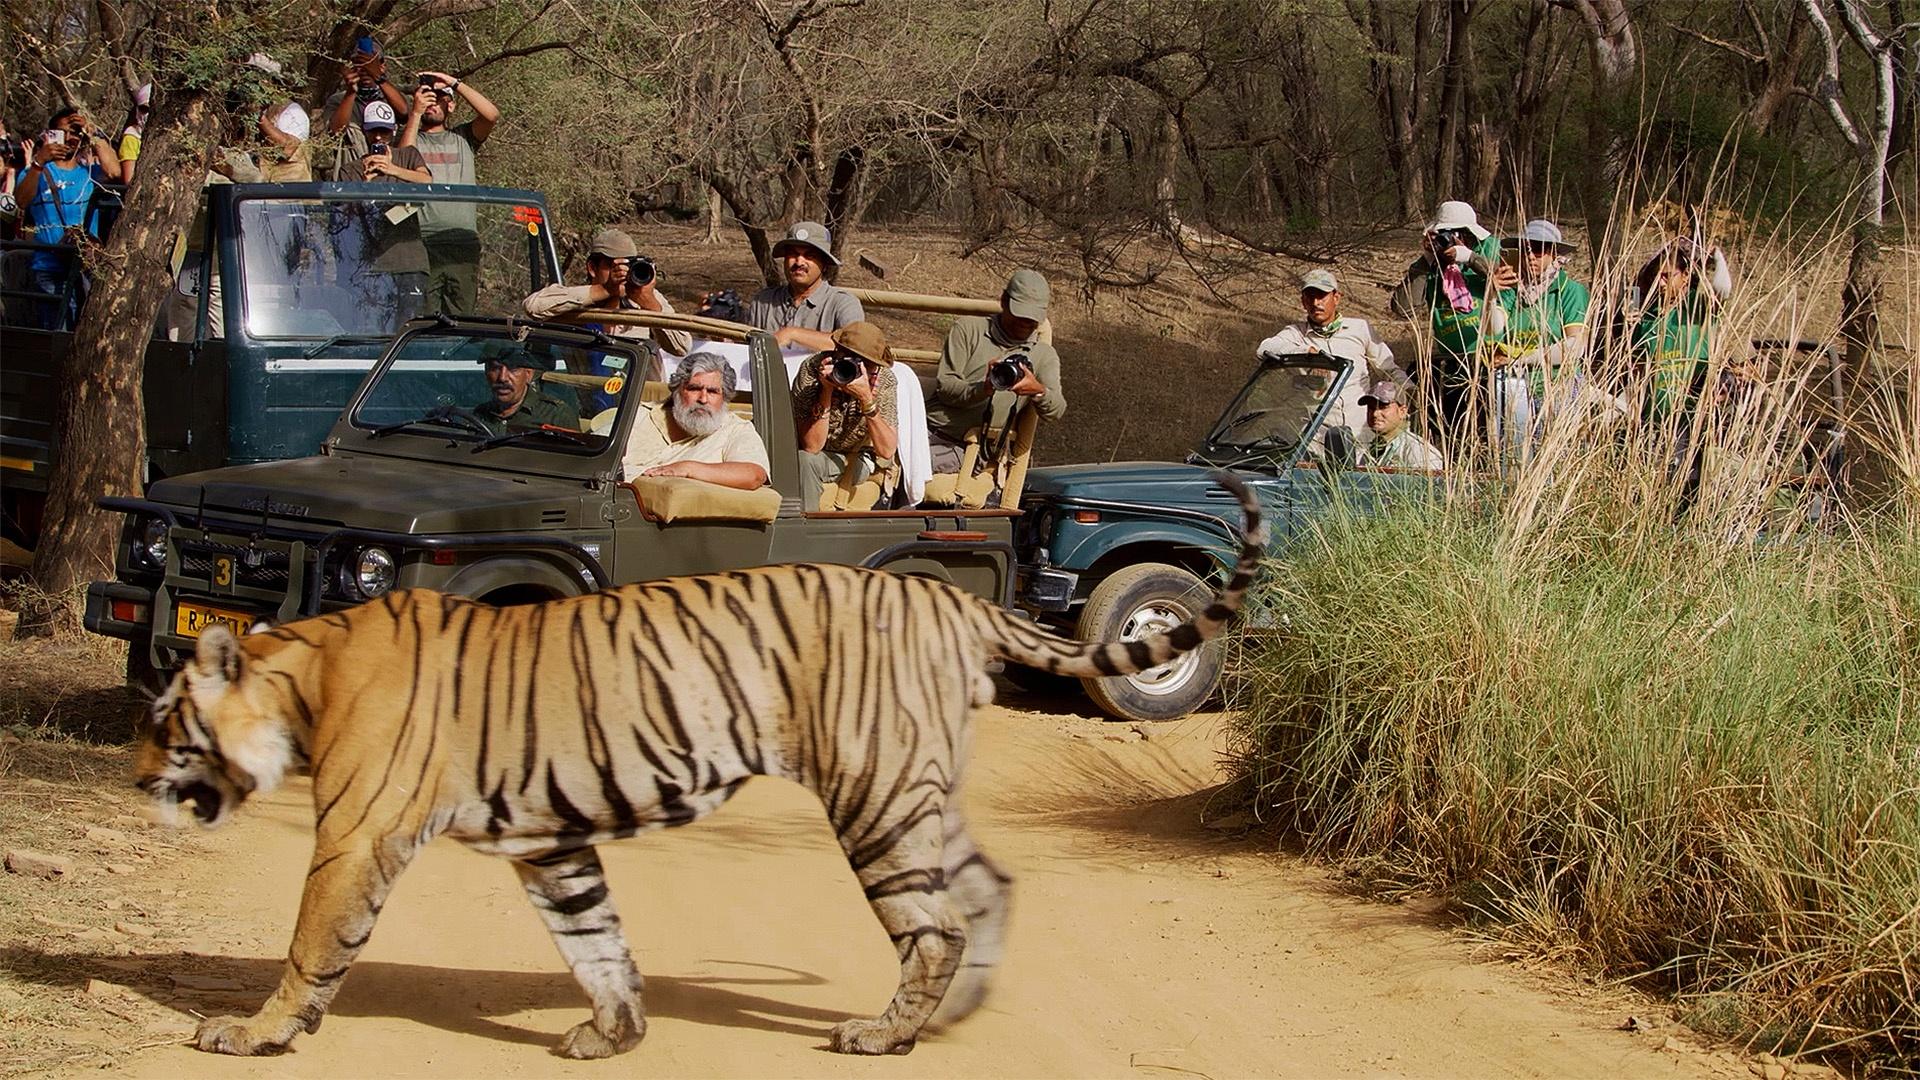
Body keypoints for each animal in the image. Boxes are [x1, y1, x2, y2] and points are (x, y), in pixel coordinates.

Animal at [135, 472, 1266, 1060]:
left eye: (166, 718)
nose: (140, 778)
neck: (304, 672)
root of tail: (947, 598)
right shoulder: (550, 842)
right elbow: (594, 938)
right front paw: (616, 1032)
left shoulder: (357, 832)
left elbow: (310, 942)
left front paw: (256, 1032)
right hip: (915, 791)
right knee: (988, 888)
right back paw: (949, 1019)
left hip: (875, 797)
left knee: (935, 921)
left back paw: (880, 1034)